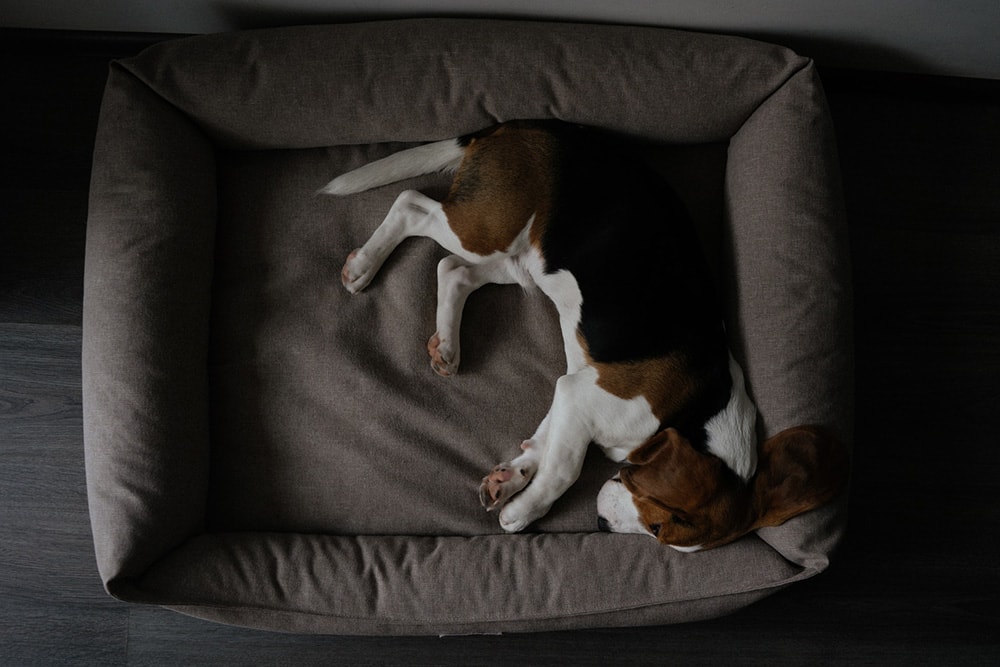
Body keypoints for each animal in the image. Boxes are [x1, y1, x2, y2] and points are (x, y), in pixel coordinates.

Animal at [324, 121, 848, 552]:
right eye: (658, 527)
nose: (600, 526)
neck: (696, 412)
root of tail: (517, 125)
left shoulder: (575, 391)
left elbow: (543, 445)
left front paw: (511, 479)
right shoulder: (584, 397)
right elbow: (564, 468)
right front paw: (524, 510)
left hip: (523, 264)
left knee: (451, 270)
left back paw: (448, 347)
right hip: (484, 228)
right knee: (412, 206)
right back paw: (364, 266)